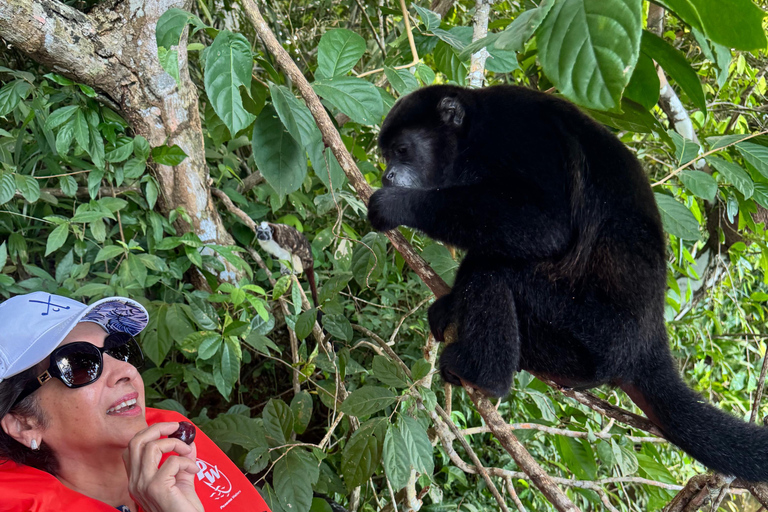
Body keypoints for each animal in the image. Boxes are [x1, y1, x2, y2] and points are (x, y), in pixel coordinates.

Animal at [367, 84, 768, 481]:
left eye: (402, 151)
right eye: (386, 154)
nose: (387, 175)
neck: (469, 138)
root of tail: (647, 342)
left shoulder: (515, 133)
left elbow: (547, 225)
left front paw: (399, 204)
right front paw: (449, 305)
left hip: (587, 335)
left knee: (496, 271)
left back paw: (486, 375)